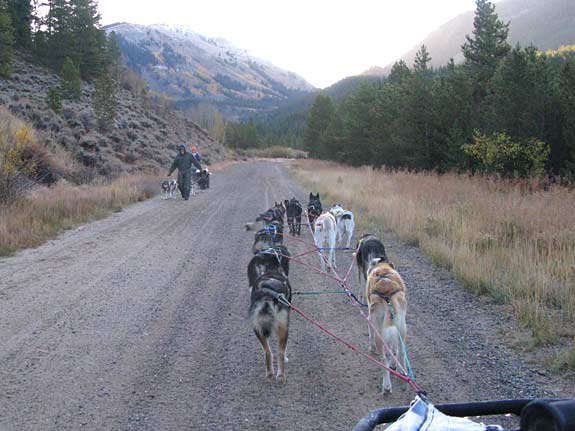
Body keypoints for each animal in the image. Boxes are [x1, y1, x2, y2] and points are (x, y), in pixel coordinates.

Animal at [366, 260, 408, 394]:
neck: (382, 268)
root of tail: (387, 295)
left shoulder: (371, 319)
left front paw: (371, 348)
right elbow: (394, 349)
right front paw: (395, 364)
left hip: (380, 333)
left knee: (384, 360)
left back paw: (387, 385)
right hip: (402, 328)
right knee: (401, 352)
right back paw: (402, 371)